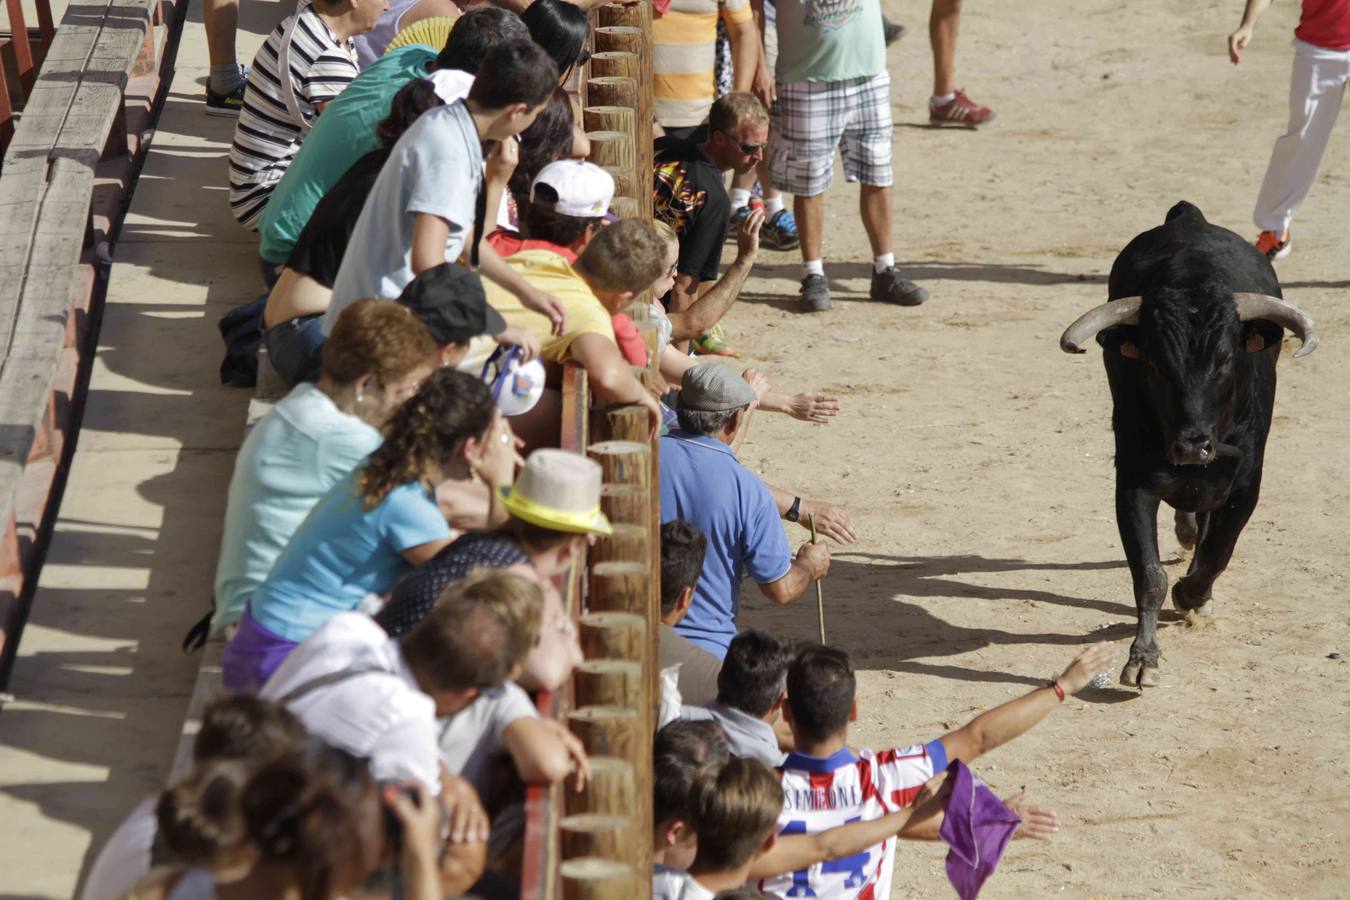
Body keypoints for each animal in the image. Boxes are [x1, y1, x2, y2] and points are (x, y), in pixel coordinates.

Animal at [1058, 201, 1312, 685]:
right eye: (1156, 364)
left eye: (1227, 358)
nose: (1192, 447)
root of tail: (1188, 217)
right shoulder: (1133, 485)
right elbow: (1149, 574)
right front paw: (1143, 658)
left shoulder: (1245, 483)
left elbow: (1218, 552)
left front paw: (1193, 596)